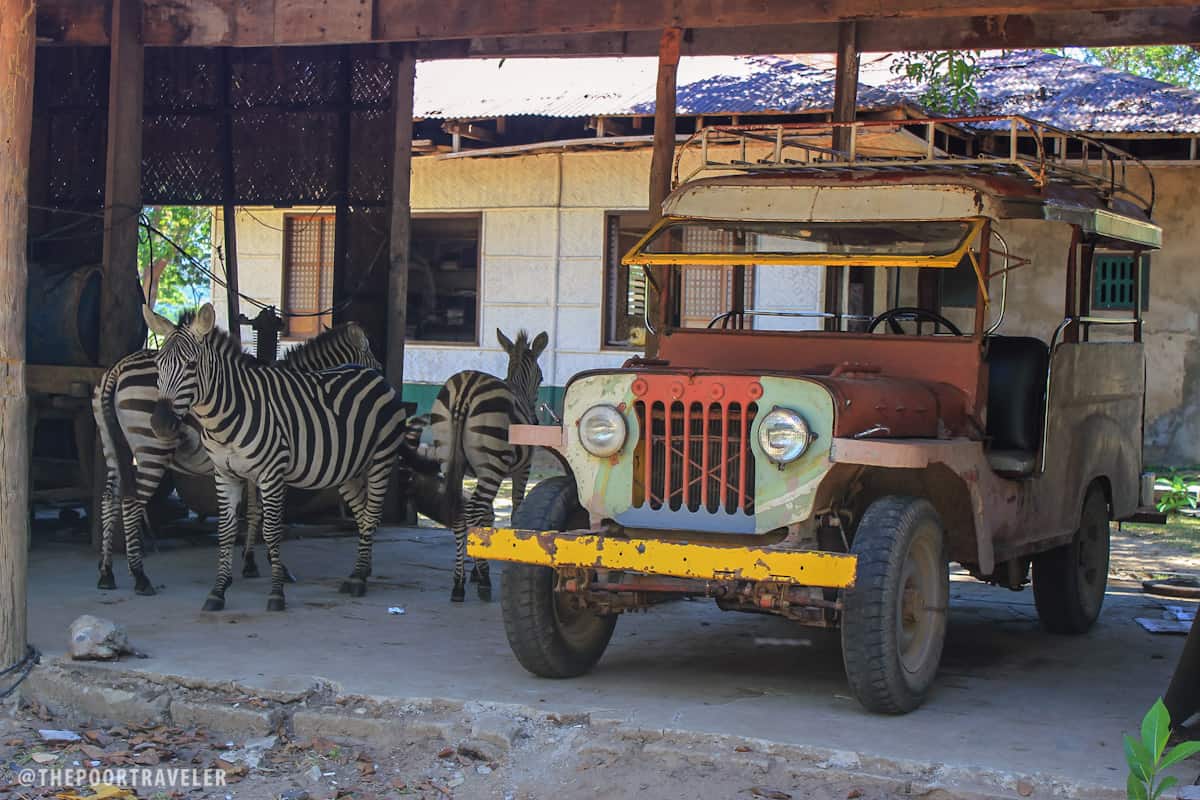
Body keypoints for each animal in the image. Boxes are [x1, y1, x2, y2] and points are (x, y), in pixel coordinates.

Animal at [94, 316, 384, 594]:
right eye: (376, 364)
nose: (382, 375)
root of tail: (118, 366)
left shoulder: (256, 466)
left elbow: (254, 512)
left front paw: (250, 562)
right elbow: (268, 515)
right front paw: (275, 567)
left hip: (112, 445)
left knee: (109, 498)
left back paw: (106, 573)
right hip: (152, 448)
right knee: (130, 502)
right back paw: (139, 576)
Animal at [143, 304, 432, 614]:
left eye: (191, 365)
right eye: (158, 365)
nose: (160, 424)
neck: (227, 413)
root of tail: (374, 378)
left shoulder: (271, 474)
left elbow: (271, 528)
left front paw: (276, 590)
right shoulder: (226, 474)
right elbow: (227, 530)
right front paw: (218, 591)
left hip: (381, 460)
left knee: (372, 515)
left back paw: (358, 579)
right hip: (349, 471)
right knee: (364, 514)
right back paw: (360, 571)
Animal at [432, 326, 549, 599]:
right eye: (540, 378)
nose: (535, 421)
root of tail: (465, 390)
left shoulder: (473, 472)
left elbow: (489, 514)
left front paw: (476, 564)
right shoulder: (522, 469)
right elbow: (514, 509)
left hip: (449, 458)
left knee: (462, 511)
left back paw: (459, 582)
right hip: (492, 466)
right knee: (473, 510)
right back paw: (483, 580)